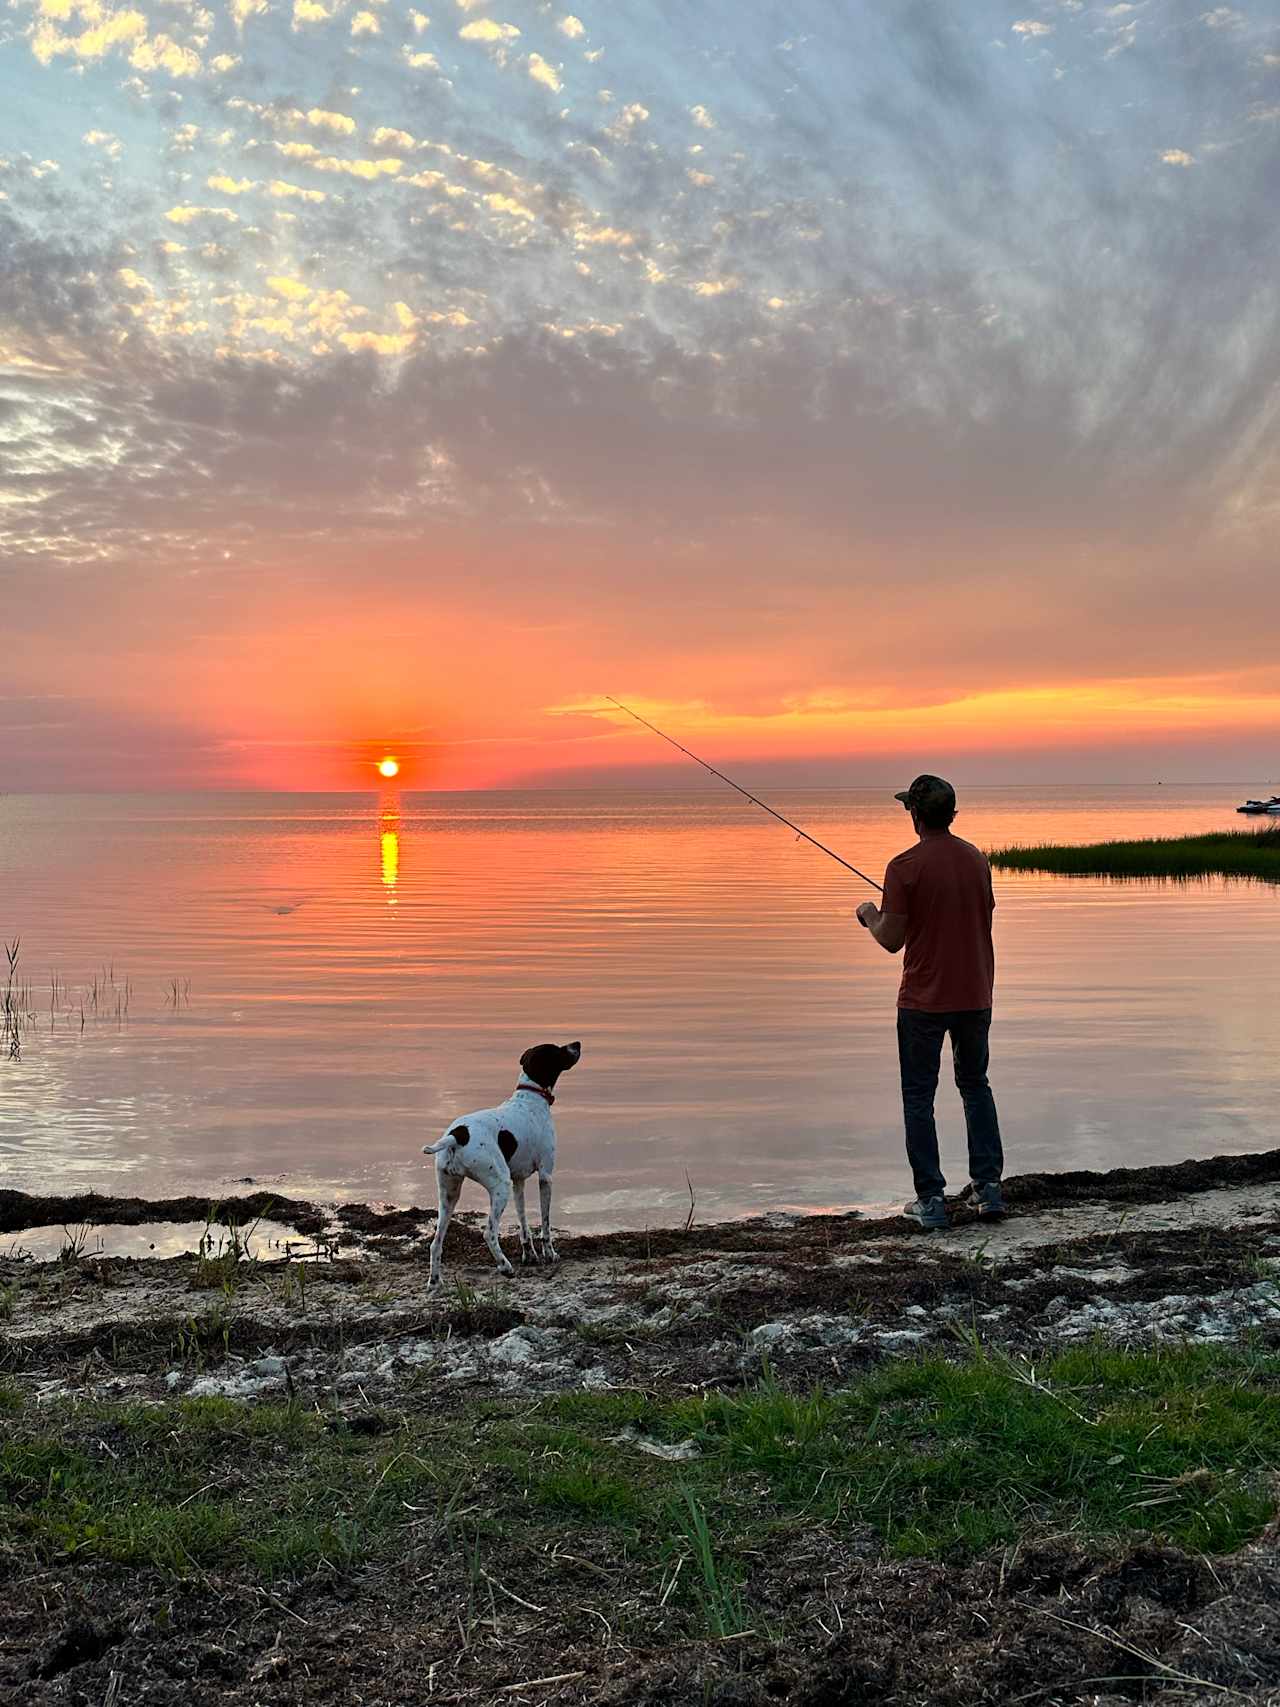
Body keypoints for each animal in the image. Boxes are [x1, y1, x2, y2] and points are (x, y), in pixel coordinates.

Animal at [421, 1037, 580, 1283]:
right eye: (558, 1050)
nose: (578, 1043)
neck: (531, 1097)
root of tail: (457, 1135)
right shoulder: (545, 1176)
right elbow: (545, 1225)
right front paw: (549, 1254)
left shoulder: (518, 1181)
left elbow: (524, 1225)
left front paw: (529, 1255)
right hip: (499, 1185)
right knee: (489, 1233)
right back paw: (505, 1266)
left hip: (449, 1195)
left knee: (435, 1243)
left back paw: (435, 1281)